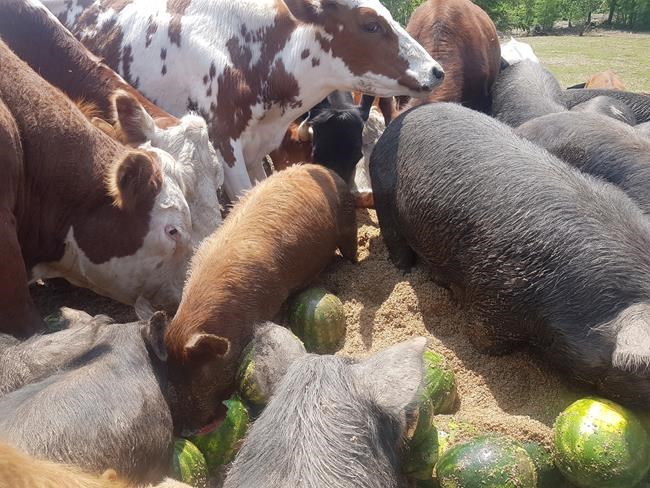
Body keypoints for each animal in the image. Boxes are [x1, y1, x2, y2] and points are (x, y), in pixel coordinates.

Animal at [163, 164, 358, 433]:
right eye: (171, 372)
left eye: (201, 375)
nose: (187, 428)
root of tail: (320, 168)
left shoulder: (273, 300)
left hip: (349, 220)